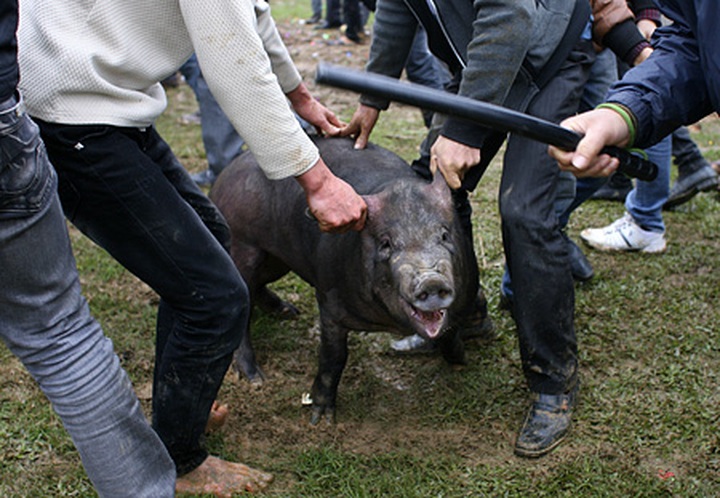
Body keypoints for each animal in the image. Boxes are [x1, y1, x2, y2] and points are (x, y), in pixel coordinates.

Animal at [209, 136, 476, 424]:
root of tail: (225, 174)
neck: (391, 324)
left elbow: (449, 332)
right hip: (243, 244)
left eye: (444, 235)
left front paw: (461, 361)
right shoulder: (329, 302)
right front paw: (321, 419)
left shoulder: (466, 295)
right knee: (244, 299)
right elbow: (334, 357)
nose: (431, 281)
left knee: (258, 285)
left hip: (277, 260)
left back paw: (288, 312)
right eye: (386, 243)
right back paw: (255, 378)